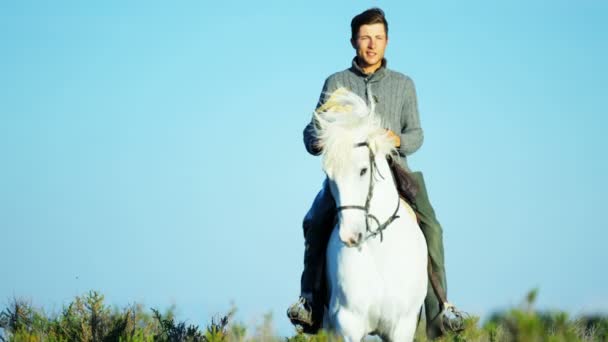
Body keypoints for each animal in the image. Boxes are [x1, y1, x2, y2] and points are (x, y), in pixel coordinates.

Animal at [314, 89, 428, 342]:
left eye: (363, 170)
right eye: (328, 175)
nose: (350, 236)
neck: (379, 248)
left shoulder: (402, 327)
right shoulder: (347, 324)